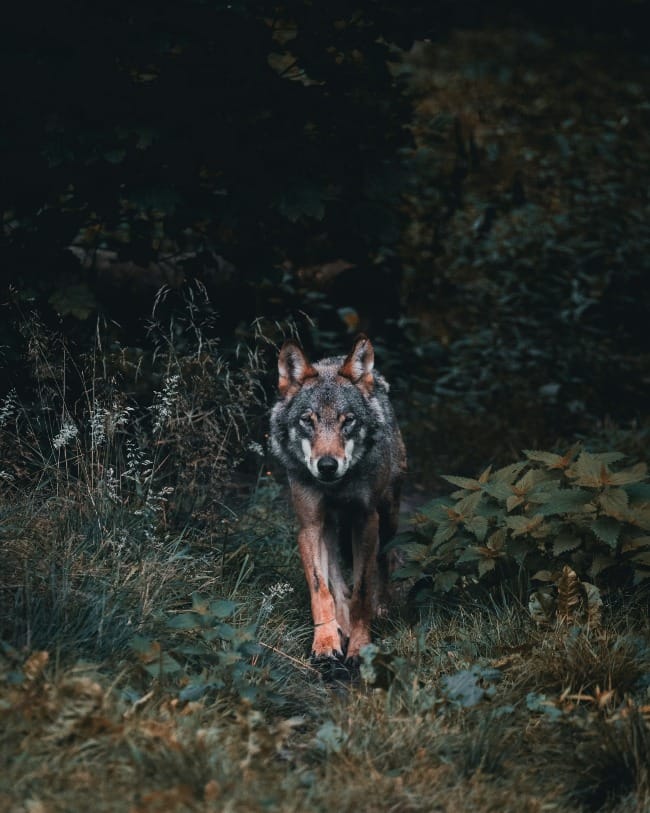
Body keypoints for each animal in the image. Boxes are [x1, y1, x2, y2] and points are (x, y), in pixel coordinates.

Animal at [270, 334, 404, 664]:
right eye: (308, 420)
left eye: (348, 421)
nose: (328, 465)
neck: (335, 487)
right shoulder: (309, 526)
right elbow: (322, 591)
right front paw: (326, 641)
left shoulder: (366, 520)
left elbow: (362, 590)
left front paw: (360, 644)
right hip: (329, 529)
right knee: (337, 583)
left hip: (389, 516)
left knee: (385, 560)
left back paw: (382, 607)